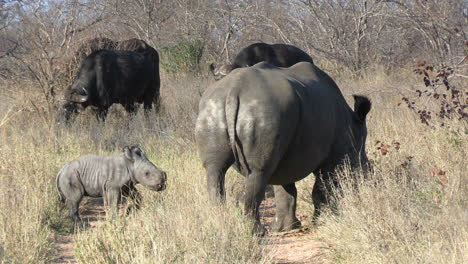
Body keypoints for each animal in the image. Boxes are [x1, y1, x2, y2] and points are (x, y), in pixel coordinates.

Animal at [196, 61, 372, 231]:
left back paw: (220, 223)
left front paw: (286, 228)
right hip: (263, 110)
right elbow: (322, 189)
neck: (352, 124)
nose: (369, 175)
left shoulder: (286, 152)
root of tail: (234, 90)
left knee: (215, 169)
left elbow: (285, 188)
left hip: (214, 107)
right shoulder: (333, 158)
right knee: (258, 171)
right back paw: (256, 232)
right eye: (362, 162)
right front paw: (322, 222)